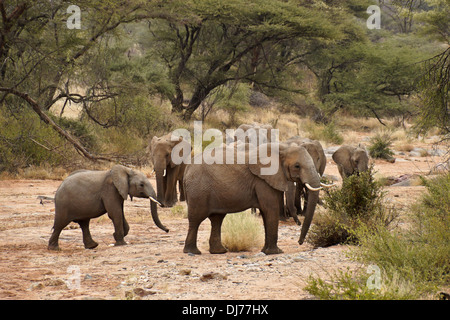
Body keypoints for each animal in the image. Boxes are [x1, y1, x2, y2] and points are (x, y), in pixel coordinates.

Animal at [182, 142, 324, 255]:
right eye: (297, 166)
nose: (299, 242)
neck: (282, 148)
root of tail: (187, 167)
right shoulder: (262, 181)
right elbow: (270, 209)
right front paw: (276, 252)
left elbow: (266, 212)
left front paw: (265, 251)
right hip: (198, 189)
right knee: (196, 219)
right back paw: (192, 252)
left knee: (217, 219)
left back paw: (219, 252)